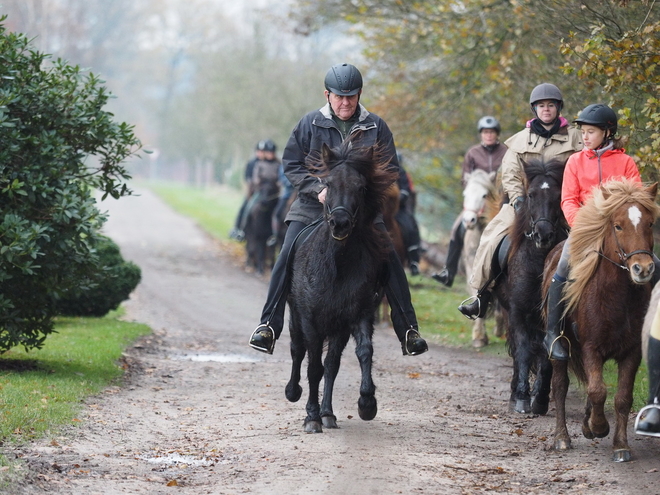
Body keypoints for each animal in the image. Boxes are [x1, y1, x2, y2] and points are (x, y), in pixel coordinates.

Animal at [458, 169, 506, 346]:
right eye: (465, 194)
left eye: (484, 195)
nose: (469, 221)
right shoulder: (473, 266)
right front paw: (479, 336)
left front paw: (499, 328)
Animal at [496, 159, 568, 414]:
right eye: (530, 194)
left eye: (558, 196)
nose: (543, 235)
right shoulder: (517, 312)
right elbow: (523, 350)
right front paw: (521, 397)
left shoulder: (549, 317)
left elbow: (547, 354)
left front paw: (541, 398)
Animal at [544, 180, 656, 464]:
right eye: (617, 225)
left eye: (650, 223)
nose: (642, 269)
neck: (618, 298)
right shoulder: (590, 348)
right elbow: (597, 390)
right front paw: (598, 426)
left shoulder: (631, 352)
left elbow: (622, 397)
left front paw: (620, 446)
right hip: (559, 349)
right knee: (560, 386)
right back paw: (561, 438)